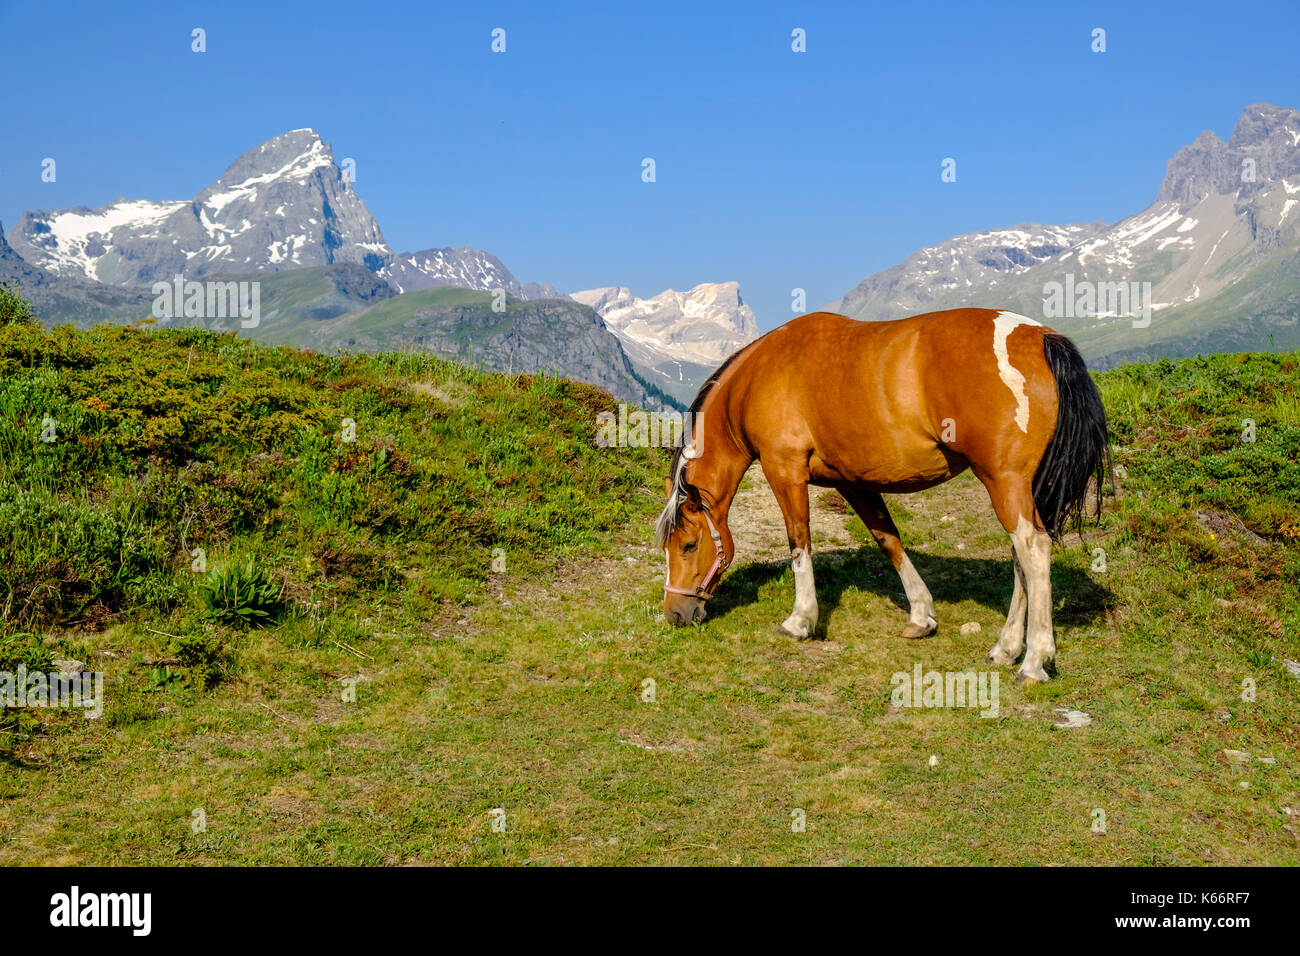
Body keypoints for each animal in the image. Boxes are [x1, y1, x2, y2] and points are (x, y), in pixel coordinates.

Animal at [655, 308, 1110, 683]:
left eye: (689, 545)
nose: (675, 614)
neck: (759, 376)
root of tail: (1041, 337)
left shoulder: (783, 470)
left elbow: (799, 542)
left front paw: (801, 620)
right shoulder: (853, 481)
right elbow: (887, 539)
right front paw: (921, 615)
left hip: (1004, 481)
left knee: (1033, 551)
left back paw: (1034, 660)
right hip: (1018, 487)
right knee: (1021, 558)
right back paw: (1007, 648)